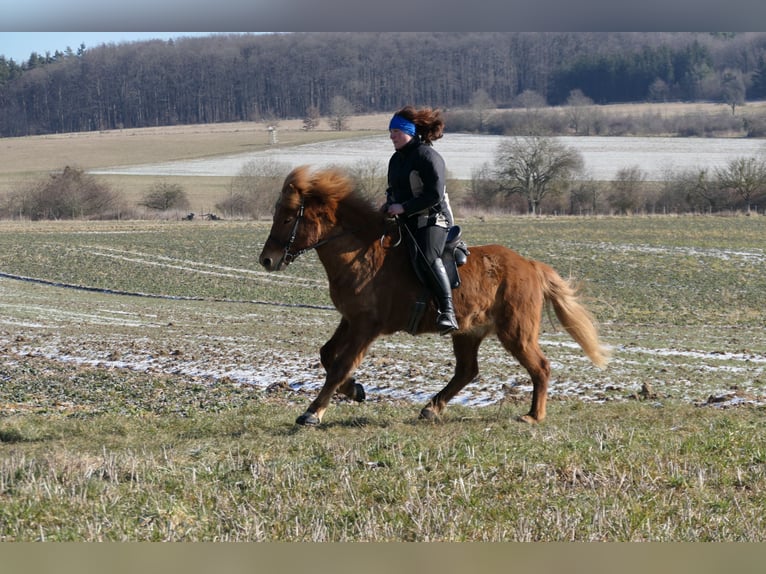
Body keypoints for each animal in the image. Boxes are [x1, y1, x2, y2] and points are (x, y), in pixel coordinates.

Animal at [260, 166, 612, 428]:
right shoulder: (351, 319)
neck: (359, 253)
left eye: (288, 217)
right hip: (468, 332)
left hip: (516, 332)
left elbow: (340, 365)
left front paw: (313, 412)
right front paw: (355, 390)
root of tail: (530, 266)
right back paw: (432, 407)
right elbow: (327, 355)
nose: (266, 260)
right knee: (467, 371)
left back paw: (533, 415)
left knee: (541, 366)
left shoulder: (366, 326)